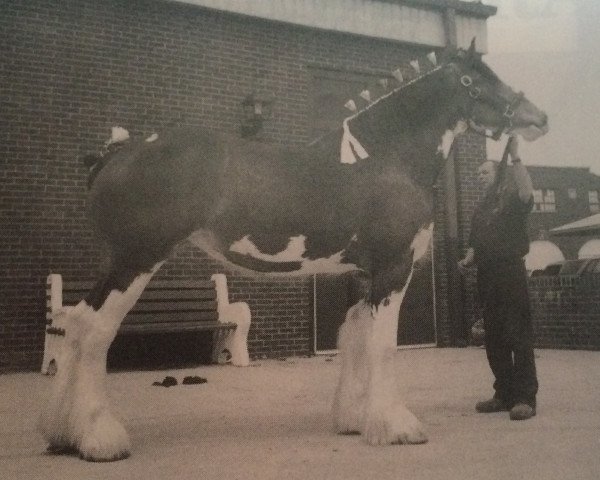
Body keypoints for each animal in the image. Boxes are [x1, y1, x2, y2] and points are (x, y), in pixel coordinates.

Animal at [37, 42, 548, 462]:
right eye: (477, 78)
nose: (538, 118)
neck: (385, 158)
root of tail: (116, 153)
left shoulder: (360, 274)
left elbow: (353, 336)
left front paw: (354, 420)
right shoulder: (392, 268)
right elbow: (382, 346)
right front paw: (397, 426)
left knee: (72, 326)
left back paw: (62, 435)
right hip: (135, 260)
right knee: (92, 329)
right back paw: (99, 439)